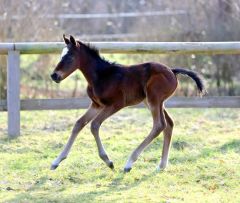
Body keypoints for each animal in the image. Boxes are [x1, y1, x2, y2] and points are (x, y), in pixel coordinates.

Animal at [50, 35, 204, 171]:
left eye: (69, 57)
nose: (54, 75)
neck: (102, 76)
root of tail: (172, 71)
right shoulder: (96, 105)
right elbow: (79, 124)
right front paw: (56, 161)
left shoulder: (116, 104)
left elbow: (94, 125)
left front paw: (108, 161)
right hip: (153, 101)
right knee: (169, 124)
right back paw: (161, 165)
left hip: (154, 99)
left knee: (159, 125)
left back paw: (129, 163)